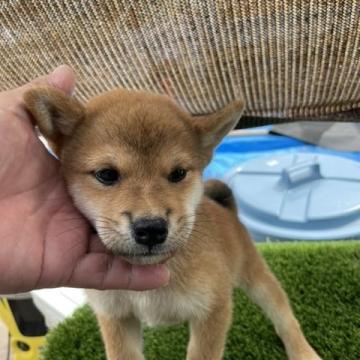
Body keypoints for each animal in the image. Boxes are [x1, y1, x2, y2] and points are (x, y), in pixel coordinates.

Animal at [24, 88, 320, 360]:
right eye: (106, 174)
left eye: (178, 173)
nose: (151, 229)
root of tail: (228, 211)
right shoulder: (116, 317)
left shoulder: (213, 310)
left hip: (256, 276)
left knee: (284, 318)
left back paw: (303, 351)